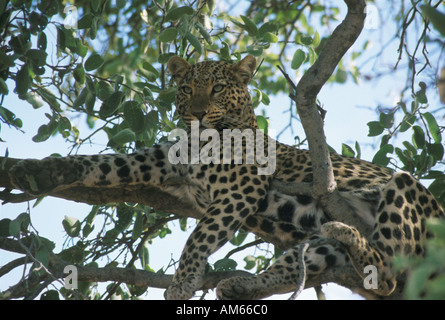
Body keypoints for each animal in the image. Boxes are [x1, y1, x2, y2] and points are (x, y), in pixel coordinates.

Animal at [8, 55, 442, 300]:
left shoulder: (239, 191)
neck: (201, 141)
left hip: (404, 188)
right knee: (316, 262)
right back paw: (245, 283)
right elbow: (106, 163)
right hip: (321, 246)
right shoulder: (161, 162)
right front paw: (42, 169)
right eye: (186, 88)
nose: (198, 113)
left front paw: (182, 283)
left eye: (217, 87)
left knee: (386, 276)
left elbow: (197, 237)